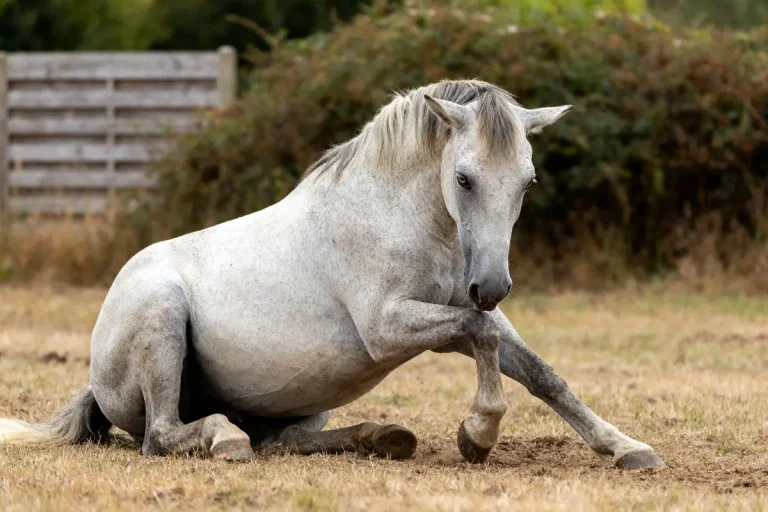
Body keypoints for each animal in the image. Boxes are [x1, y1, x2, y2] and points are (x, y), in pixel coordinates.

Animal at [0, 80, 665, 469]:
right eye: (464, 178)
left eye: (527, 181)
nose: (493, 284)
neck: (395, 213)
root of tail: (96, 369)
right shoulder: (390, 327)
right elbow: (481, 337)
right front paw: (476, 435)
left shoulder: (465, 311)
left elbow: (542, 373)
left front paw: (627, 448)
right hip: (160, 319)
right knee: (164, 435)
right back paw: (224, 439)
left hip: (299, 401)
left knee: (281, 440)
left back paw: (382, 437)